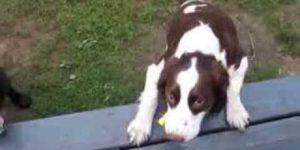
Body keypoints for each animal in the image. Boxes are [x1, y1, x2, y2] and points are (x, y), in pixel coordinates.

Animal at [127, 0, 250, 145]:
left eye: (200, 101)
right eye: (171, 96)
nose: (174, 137)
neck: (200, 48)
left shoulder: (240, 61)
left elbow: (233, 88)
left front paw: (237, 113)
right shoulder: (158, 68)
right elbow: (150, 95)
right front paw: (139, 127)